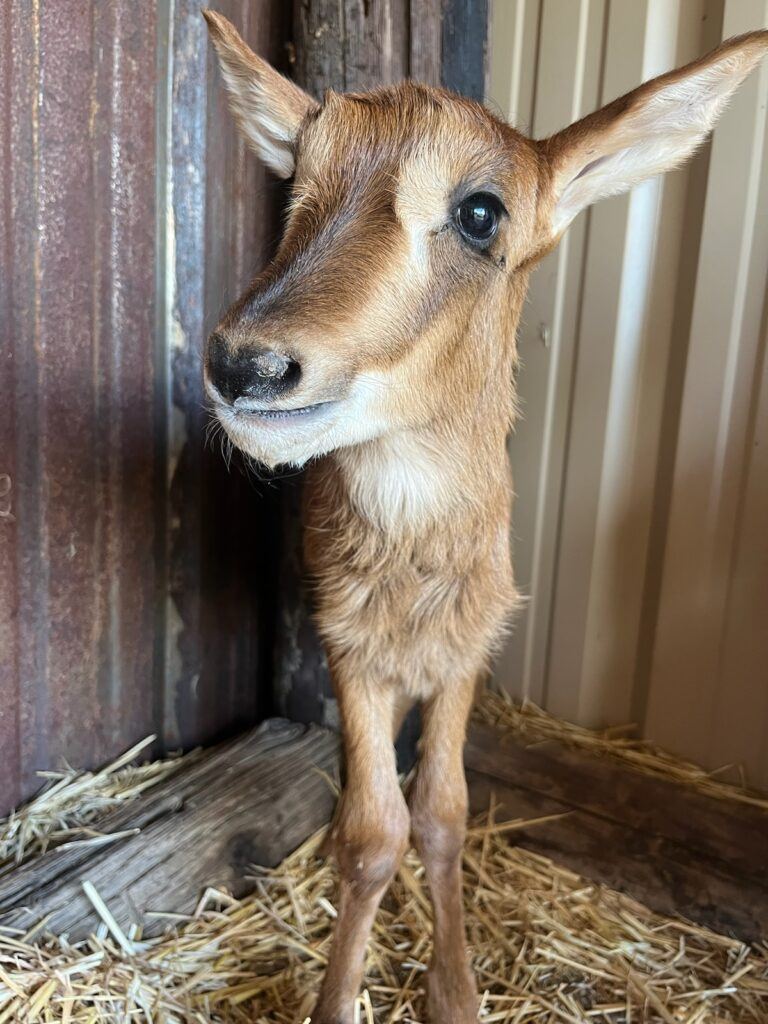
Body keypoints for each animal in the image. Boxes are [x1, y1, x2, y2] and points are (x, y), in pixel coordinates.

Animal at [202, 13, 768, 1022]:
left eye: (479, 212)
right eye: (296, 174)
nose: (246, 364)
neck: (415, 563)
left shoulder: (468, 649)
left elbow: (442, 814)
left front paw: (455, 992)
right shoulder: (352, 649)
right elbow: (372, 832)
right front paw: (339, 998)